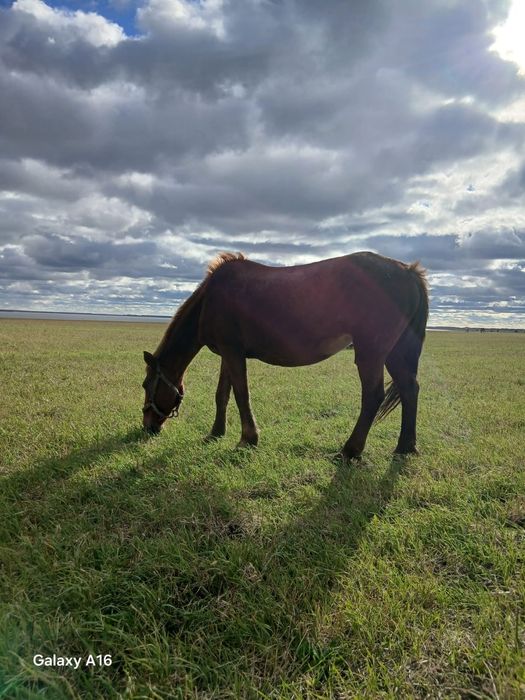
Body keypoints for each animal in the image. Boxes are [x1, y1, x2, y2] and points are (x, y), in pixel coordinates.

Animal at [142, 251, 428, 459]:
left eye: (145, 385)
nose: (147, 426)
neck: (209, 301)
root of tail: (408, 271)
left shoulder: (233, 353)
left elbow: (241, 395)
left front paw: (248, 438)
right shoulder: (228, 354)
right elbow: (222, 394)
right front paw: (216, 433)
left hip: (371, 353)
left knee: (373, 396)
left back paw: (351, 450)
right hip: (396, 352)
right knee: (409, 388)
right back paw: (405, 447)